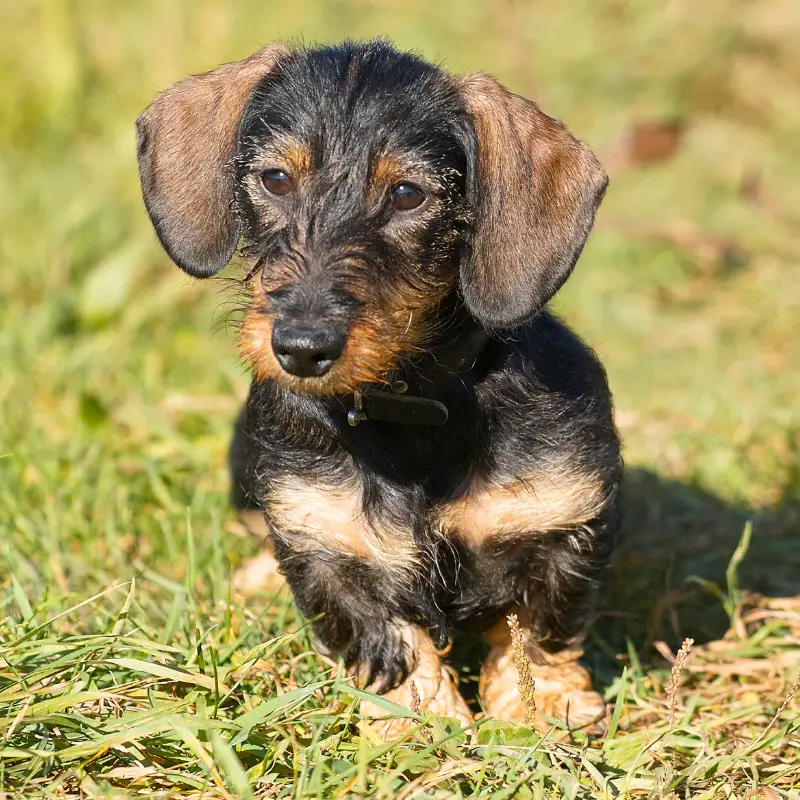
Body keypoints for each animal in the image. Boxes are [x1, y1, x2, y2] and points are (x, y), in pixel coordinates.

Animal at [138, 40, 620, 736]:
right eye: (276, 179)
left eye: (408, 194)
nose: (301, 347)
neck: (410, 409)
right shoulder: (326, 548)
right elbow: (390, 639)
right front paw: (420, 721)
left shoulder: (562, 521)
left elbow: (536, 629)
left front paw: (543, 708)